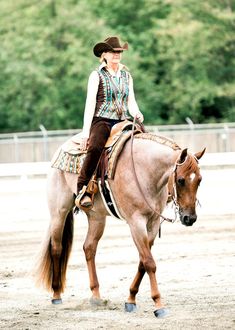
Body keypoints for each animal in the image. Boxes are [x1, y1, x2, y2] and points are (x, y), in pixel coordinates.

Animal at [34, 130, 205, 318]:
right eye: (181, 180)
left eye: (199, 180)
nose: (190, 218)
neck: (144, 170)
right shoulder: (136, 223)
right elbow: (149, 262)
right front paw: (158, 304)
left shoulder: (153, 223)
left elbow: (142, 262)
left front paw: (130, 299)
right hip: (59, 212)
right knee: (57, 248)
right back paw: (56, 294)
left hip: (96, 217)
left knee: (89, 247)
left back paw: (96, 296)